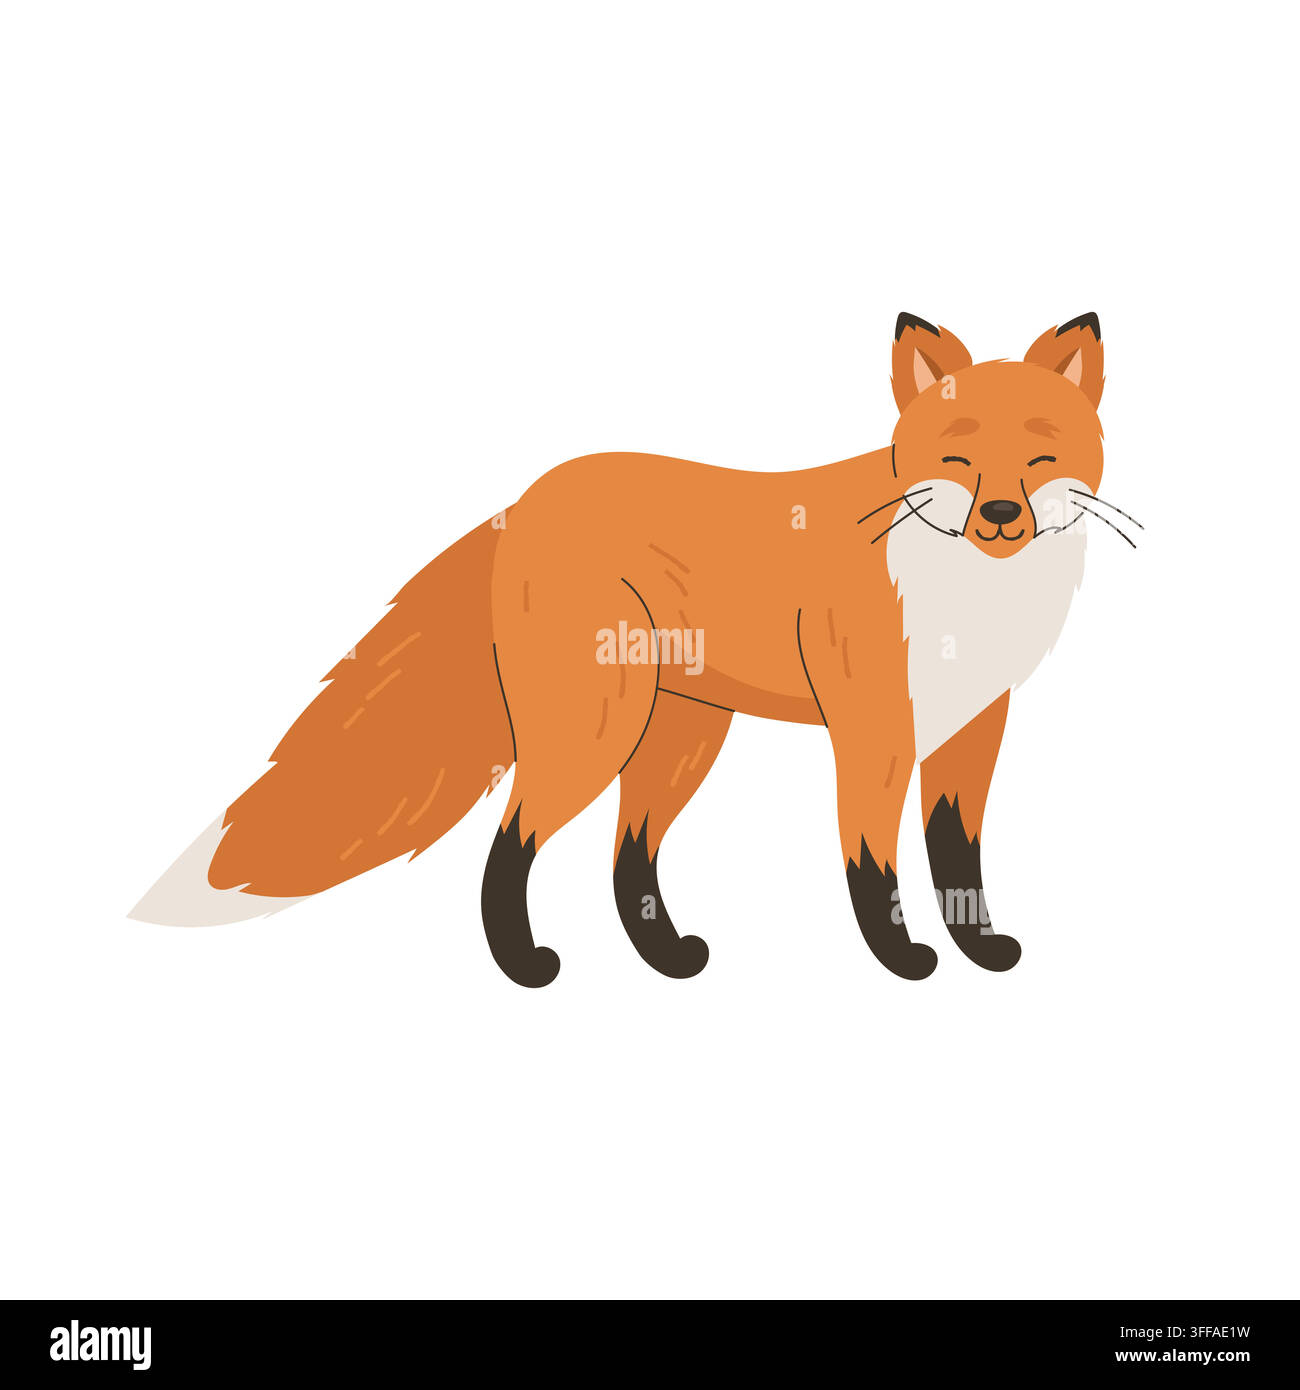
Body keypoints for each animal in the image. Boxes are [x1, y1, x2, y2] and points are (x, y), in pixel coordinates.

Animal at [134, 312, 1133, 986]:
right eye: (957, 460)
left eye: (1041, 460)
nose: (997, 514)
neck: (963, 597)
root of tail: (525, 499)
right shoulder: (872, 731)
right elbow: (874, 862)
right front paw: (903, 957)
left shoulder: (972, 732)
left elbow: (960, 862)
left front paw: (979, 949)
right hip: (596, 730)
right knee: (514, 842)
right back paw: (526, 963)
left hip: (680, 737)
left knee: (630, 857)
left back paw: (666, 957)